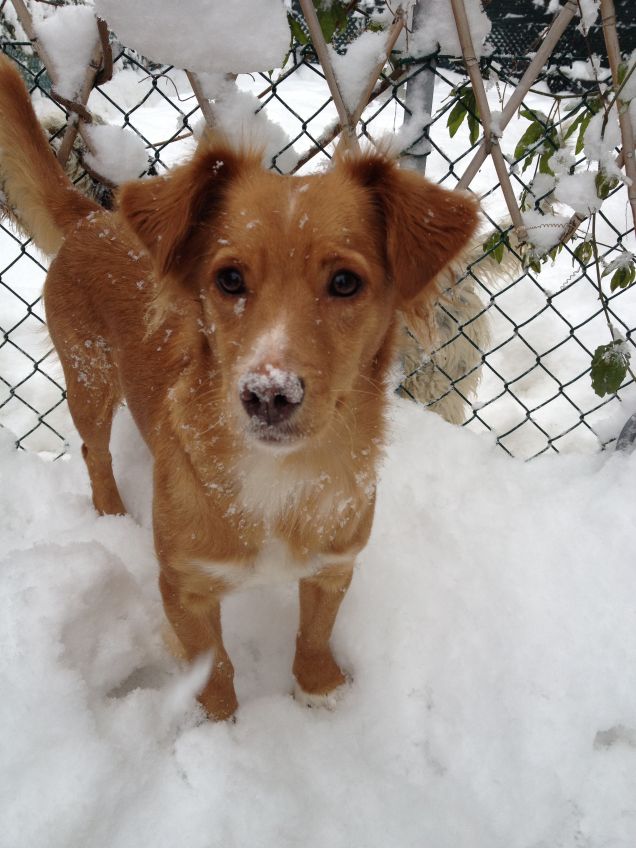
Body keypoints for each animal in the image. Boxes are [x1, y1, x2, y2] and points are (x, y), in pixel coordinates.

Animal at [0, 51, 480, 716]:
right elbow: (215, 667)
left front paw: (317, 685)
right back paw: (111, 512)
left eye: (345, 283)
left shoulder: (334, 567)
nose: (268, 396)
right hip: (89, 378)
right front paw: (219, 721)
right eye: (228, 278)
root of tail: (95, 217)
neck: (280, 479)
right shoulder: (183, 585)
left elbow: (314, 632)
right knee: (94, 451)